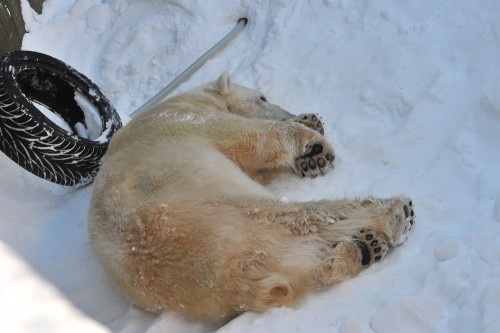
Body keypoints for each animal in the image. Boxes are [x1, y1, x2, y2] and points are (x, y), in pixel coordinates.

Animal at [88, 71, 416, 322]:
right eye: (263, 98)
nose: (289, 112)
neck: (184, 100)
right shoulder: (186, 121)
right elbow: (258, 139)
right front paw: (314, 143)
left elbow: (258, 165)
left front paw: (310, 128)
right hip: (218, 208)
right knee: (302, 217)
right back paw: (394, 214)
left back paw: (363, 249)